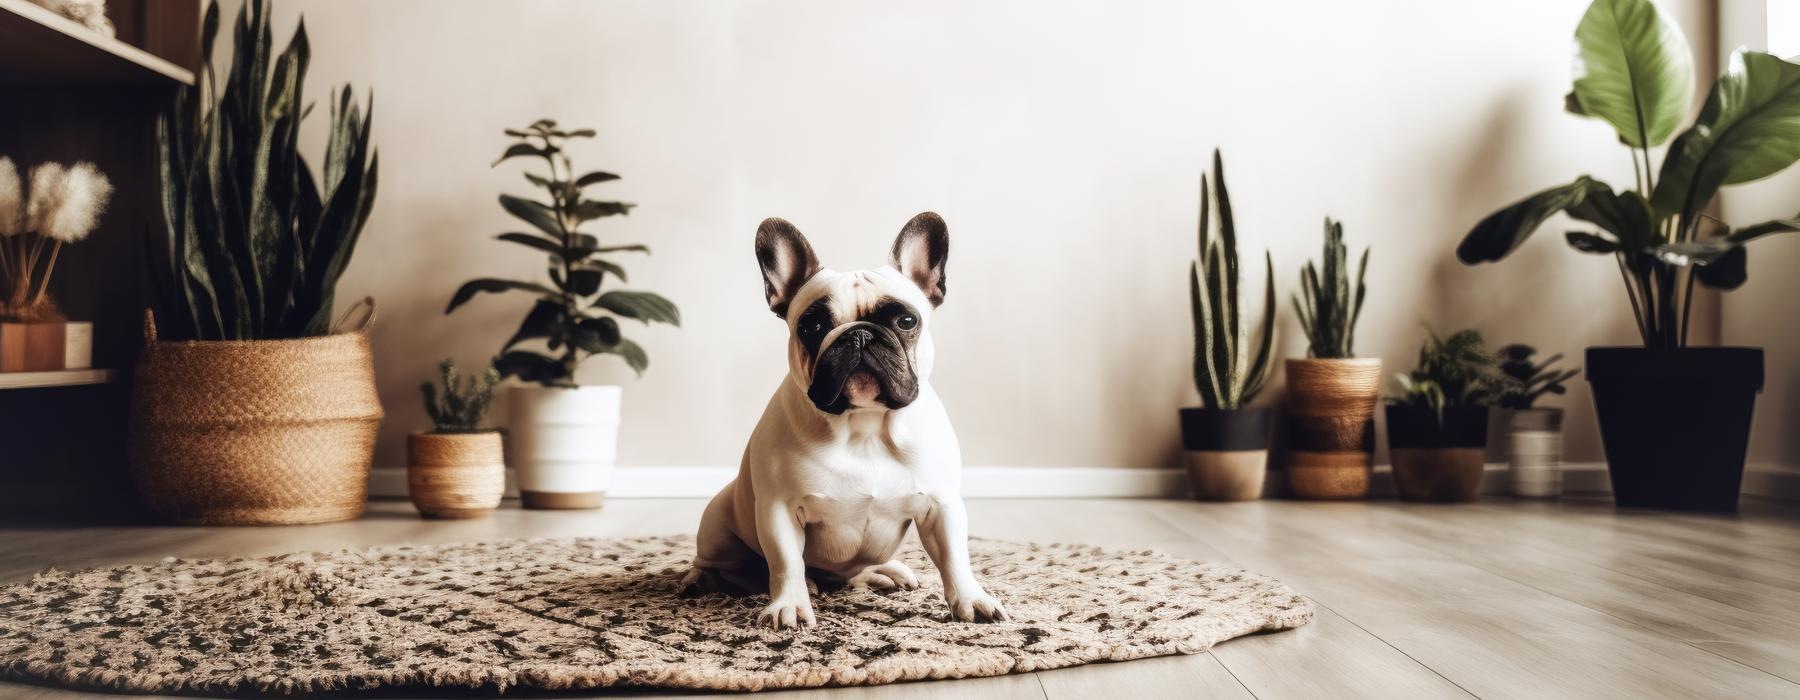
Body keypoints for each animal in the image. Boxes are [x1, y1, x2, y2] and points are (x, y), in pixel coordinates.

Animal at [680, 211, 1008, 626]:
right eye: (813, 326)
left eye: (906, 320)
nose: (860, 334)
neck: (864, 427)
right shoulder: (778, 510)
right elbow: (786, 563)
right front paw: (789, 605)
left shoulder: (941, 506)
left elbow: (955, 558)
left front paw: (971, 599)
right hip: (717, 520)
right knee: (722, 563)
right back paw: (701, 580)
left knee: (851, 573)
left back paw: (884, 572)